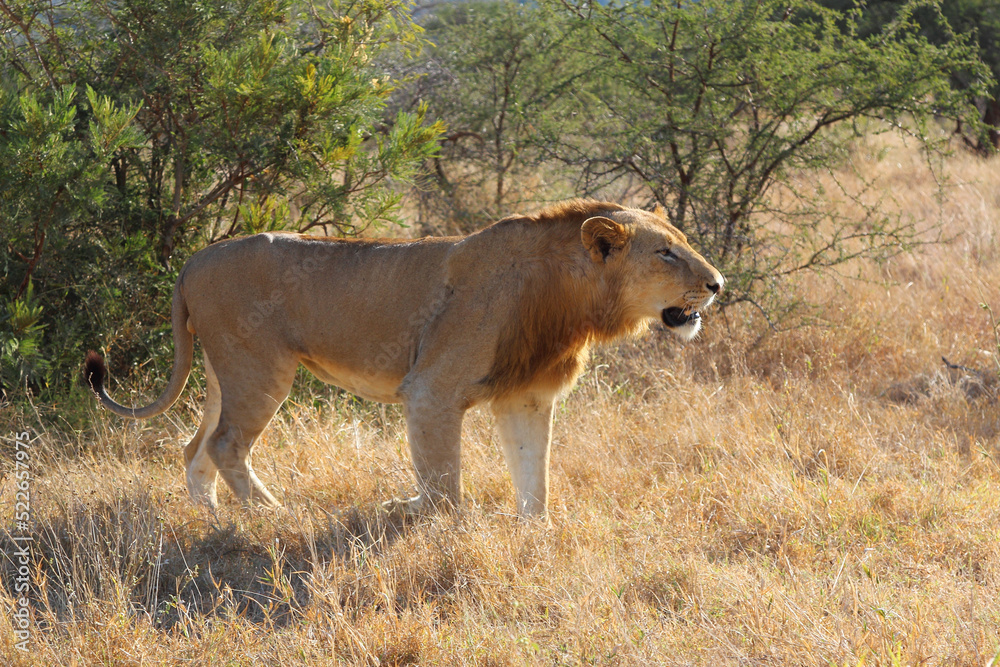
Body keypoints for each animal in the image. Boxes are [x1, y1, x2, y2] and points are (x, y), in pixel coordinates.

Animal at [85, 199, 723, 519]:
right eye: (666, 253)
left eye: (685, 242)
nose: (718, 283)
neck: (570, 301)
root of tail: (194, 259)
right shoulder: (431, 392)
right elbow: (444, 486)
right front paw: (427, 522)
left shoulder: (526, 397)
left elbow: (533, 479)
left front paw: (533, 533)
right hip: (259, 369)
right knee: (224, 445)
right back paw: (273, 516)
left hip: (223, 372)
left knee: (195, 445)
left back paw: (212, 521)